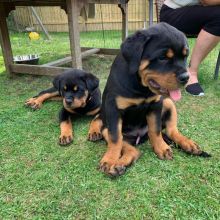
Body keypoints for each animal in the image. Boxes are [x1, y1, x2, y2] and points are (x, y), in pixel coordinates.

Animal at [87, 22, 210, 177]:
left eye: (185, 56)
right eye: (162, 57)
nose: (186, 78)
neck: (141, 87)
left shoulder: (156, 104)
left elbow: (155, 129)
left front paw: (161, 148)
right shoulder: (113, 109)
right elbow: (115, 138)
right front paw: (109, 160)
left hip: (168, 102)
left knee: (171, 130)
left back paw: (188, 144)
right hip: (107, 130)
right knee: (132, 148)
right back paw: (118, 164)